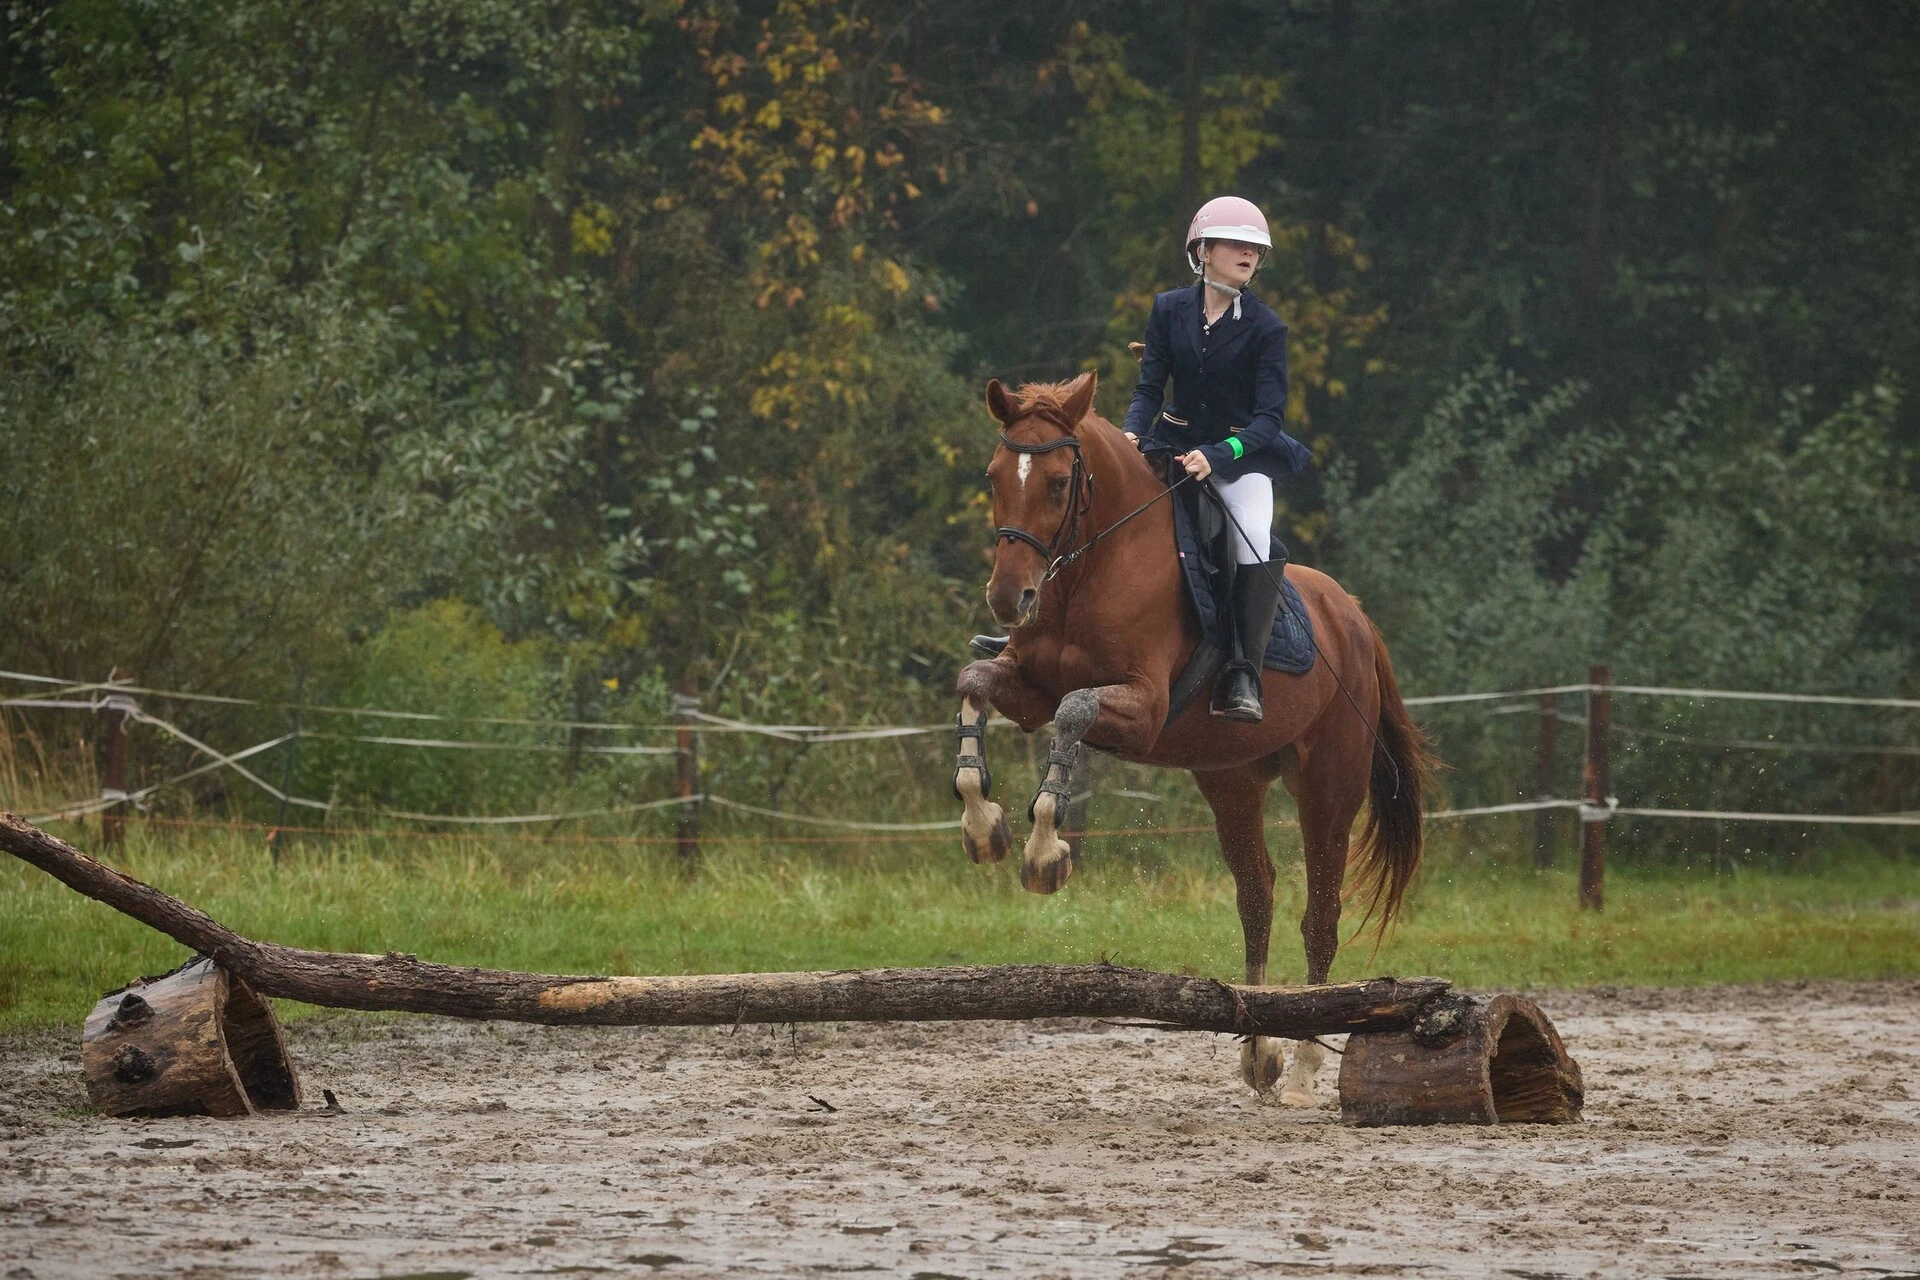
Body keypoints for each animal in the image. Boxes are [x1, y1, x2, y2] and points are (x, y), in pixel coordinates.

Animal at [952, 368, 1436, 1105]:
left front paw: (1044, 851)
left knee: (1320, 914)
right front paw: (983, 826)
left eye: (1060, 483)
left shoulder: (1144, 707)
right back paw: (1260, 1051)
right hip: (1231, 780)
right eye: (995, 475)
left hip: (1329, 787)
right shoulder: (1026, 687)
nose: (1011, 599)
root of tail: (1353, 616)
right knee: (1257, 896)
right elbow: (975, 682)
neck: (1093, 566)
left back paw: (1303, 1067)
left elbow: (1073, 711)